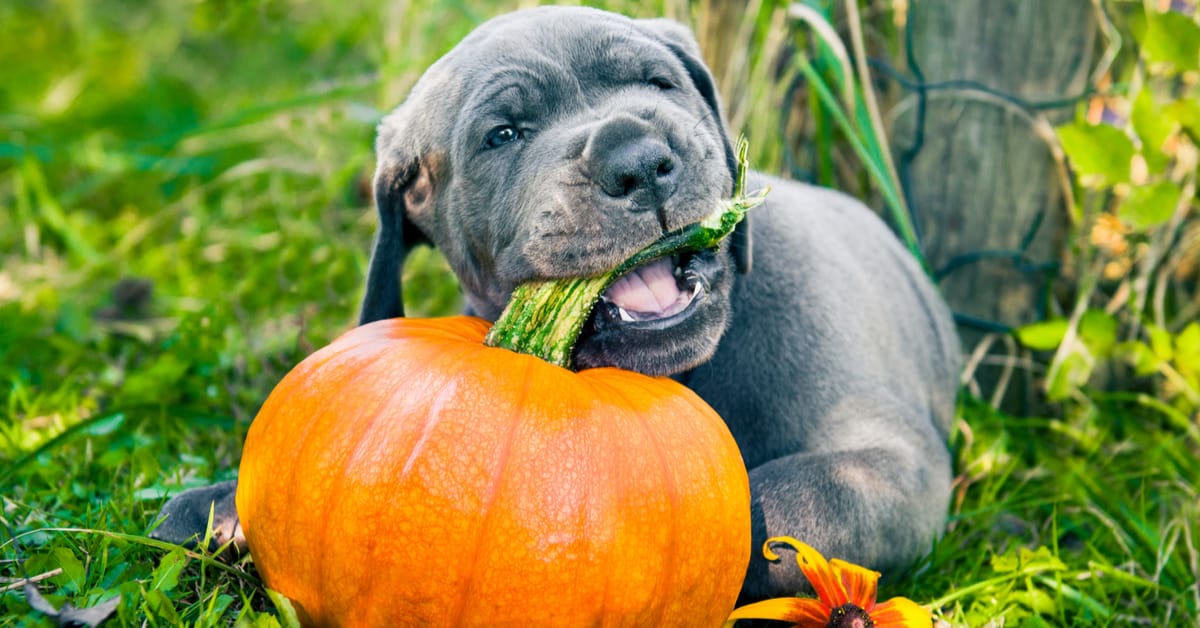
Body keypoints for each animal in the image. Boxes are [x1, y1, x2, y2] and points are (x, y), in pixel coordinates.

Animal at [152, 4, 955, 605]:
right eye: (503, 135)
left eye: (659, 83)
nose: (638, 159)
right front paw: (219, 510)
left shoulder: (895, 466)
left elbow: (775, 506)